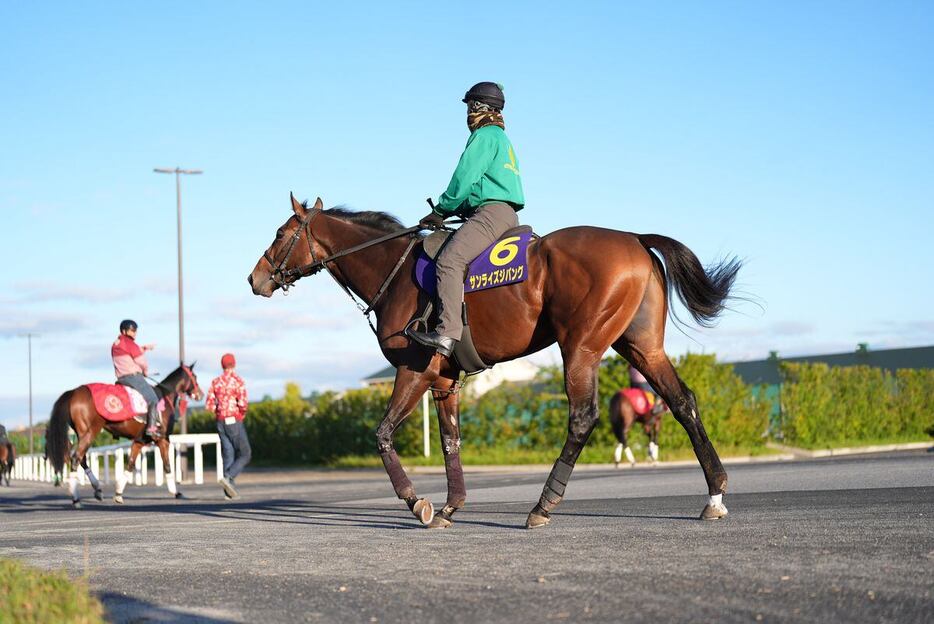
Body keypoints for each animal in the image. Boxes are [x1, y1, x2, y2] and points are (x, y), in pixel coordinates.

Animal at [45, 366, 203, 508]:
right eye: (194, 377)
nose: (200, 394)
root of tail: (74, 392)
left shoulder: (139, 441)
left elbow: (131, 463)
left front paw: (119, 493)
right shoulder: (163, 440)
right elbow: (167, 465)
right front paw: (176, 492)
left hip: (82, 433)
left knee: (81, 459)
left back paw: (97, 489)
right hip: (90, 432)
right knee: (76, 457)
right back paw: (76, 499)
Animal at [252, 195, 744, 528]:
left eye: (279, 234)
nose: (255, 278)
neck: (393, 269)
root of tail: (635, 240)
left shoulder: (414, 368)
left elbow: (383, 434)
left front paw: (417, 501)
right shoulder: (443, 379)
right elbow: (450, 441)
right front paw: (451, 506)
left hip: (581, 347)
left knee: (583, 417)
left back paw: (543, 505)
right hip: (641, 347)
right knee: (683, 403)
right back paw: (715, 496)